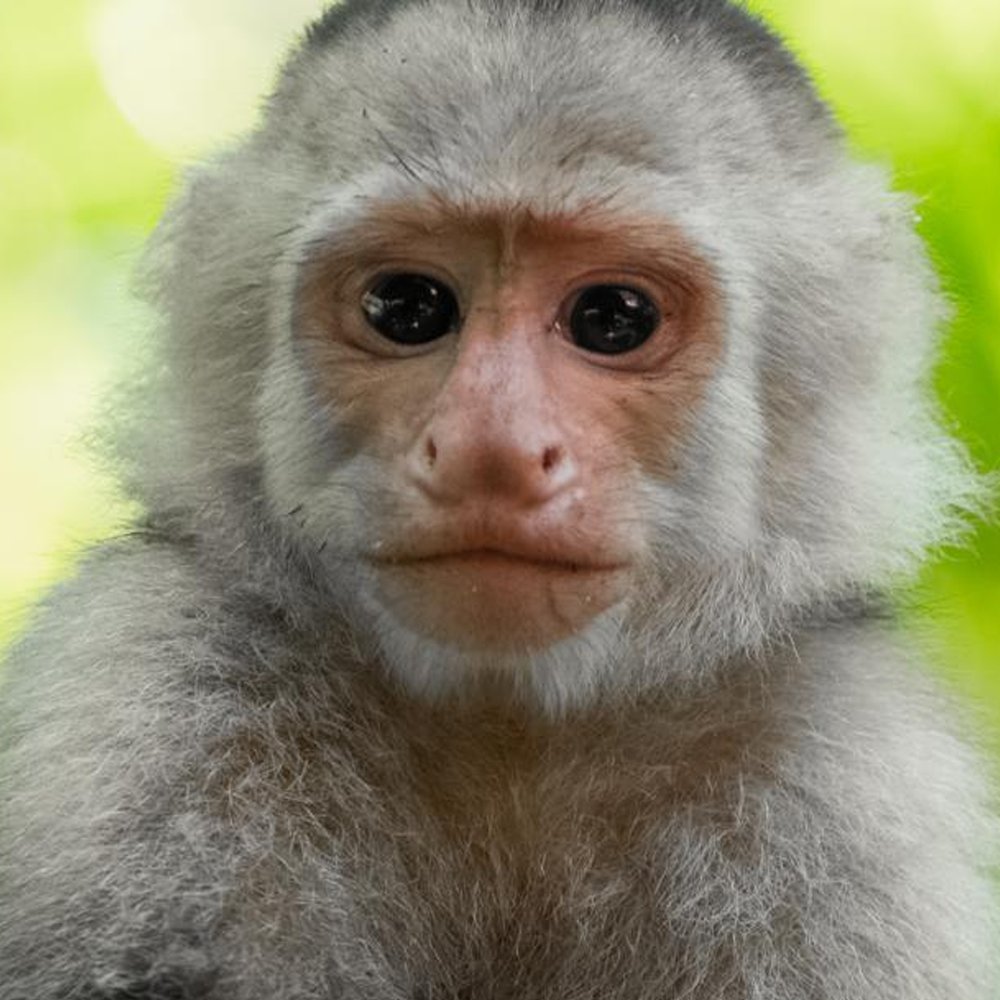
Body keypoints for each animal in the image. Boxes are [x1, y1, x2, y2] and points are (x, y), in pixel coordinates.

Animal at [0, 0, 997, 997]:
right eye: (407, 306)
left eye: (613, 318)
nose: (492, 450)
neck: (507, 733)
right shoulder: (146, 684)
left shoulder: (848, 772)